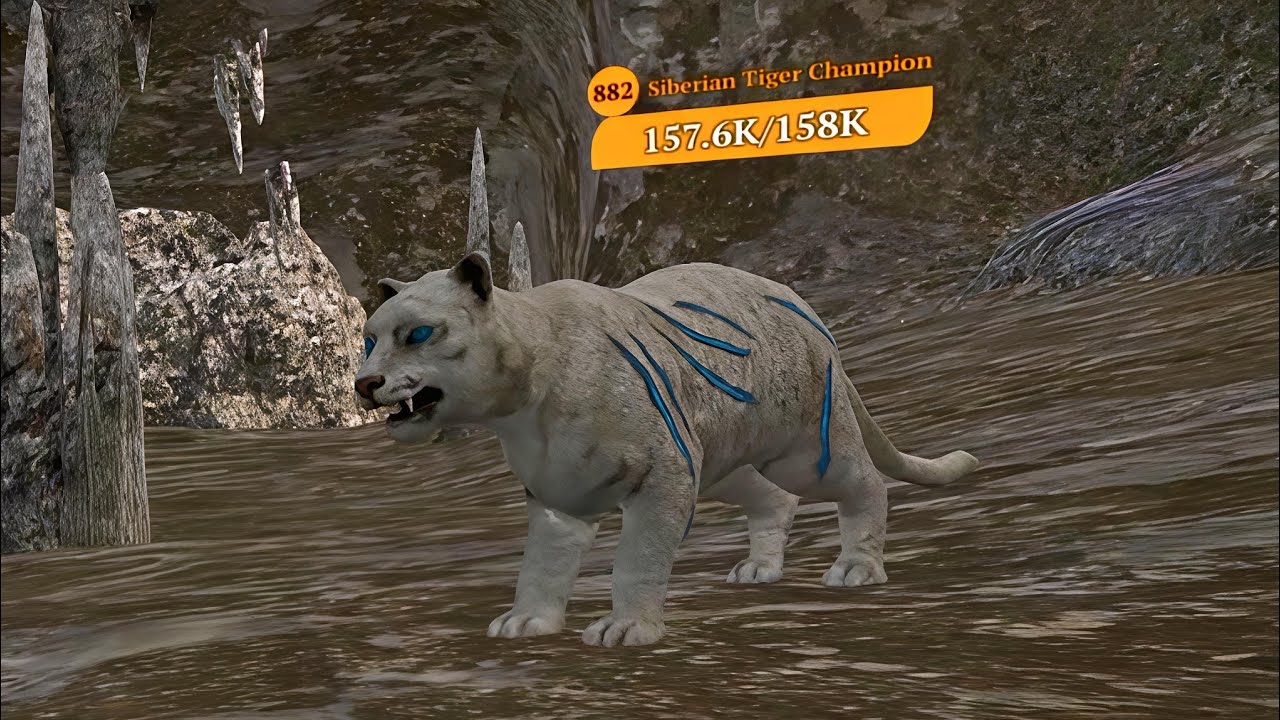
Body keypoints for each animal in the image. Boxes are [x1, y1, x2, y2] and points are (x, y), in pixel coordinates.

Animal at [354, 252, 979, 647]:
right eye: (368, 339)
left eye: (417, 334)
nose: (364, 383)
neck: (521, 408)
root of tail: (801, 303)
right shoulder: (560, 499)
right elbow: (540, 566)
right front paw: (527, 622)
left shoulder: (663, 480)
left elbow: (638, 561)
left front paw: (628, 630)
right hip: (724, 464)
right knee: (776, 500)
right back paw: (760, 569)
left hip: (803, 455)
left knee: (866, 482)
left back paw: (857, 567)